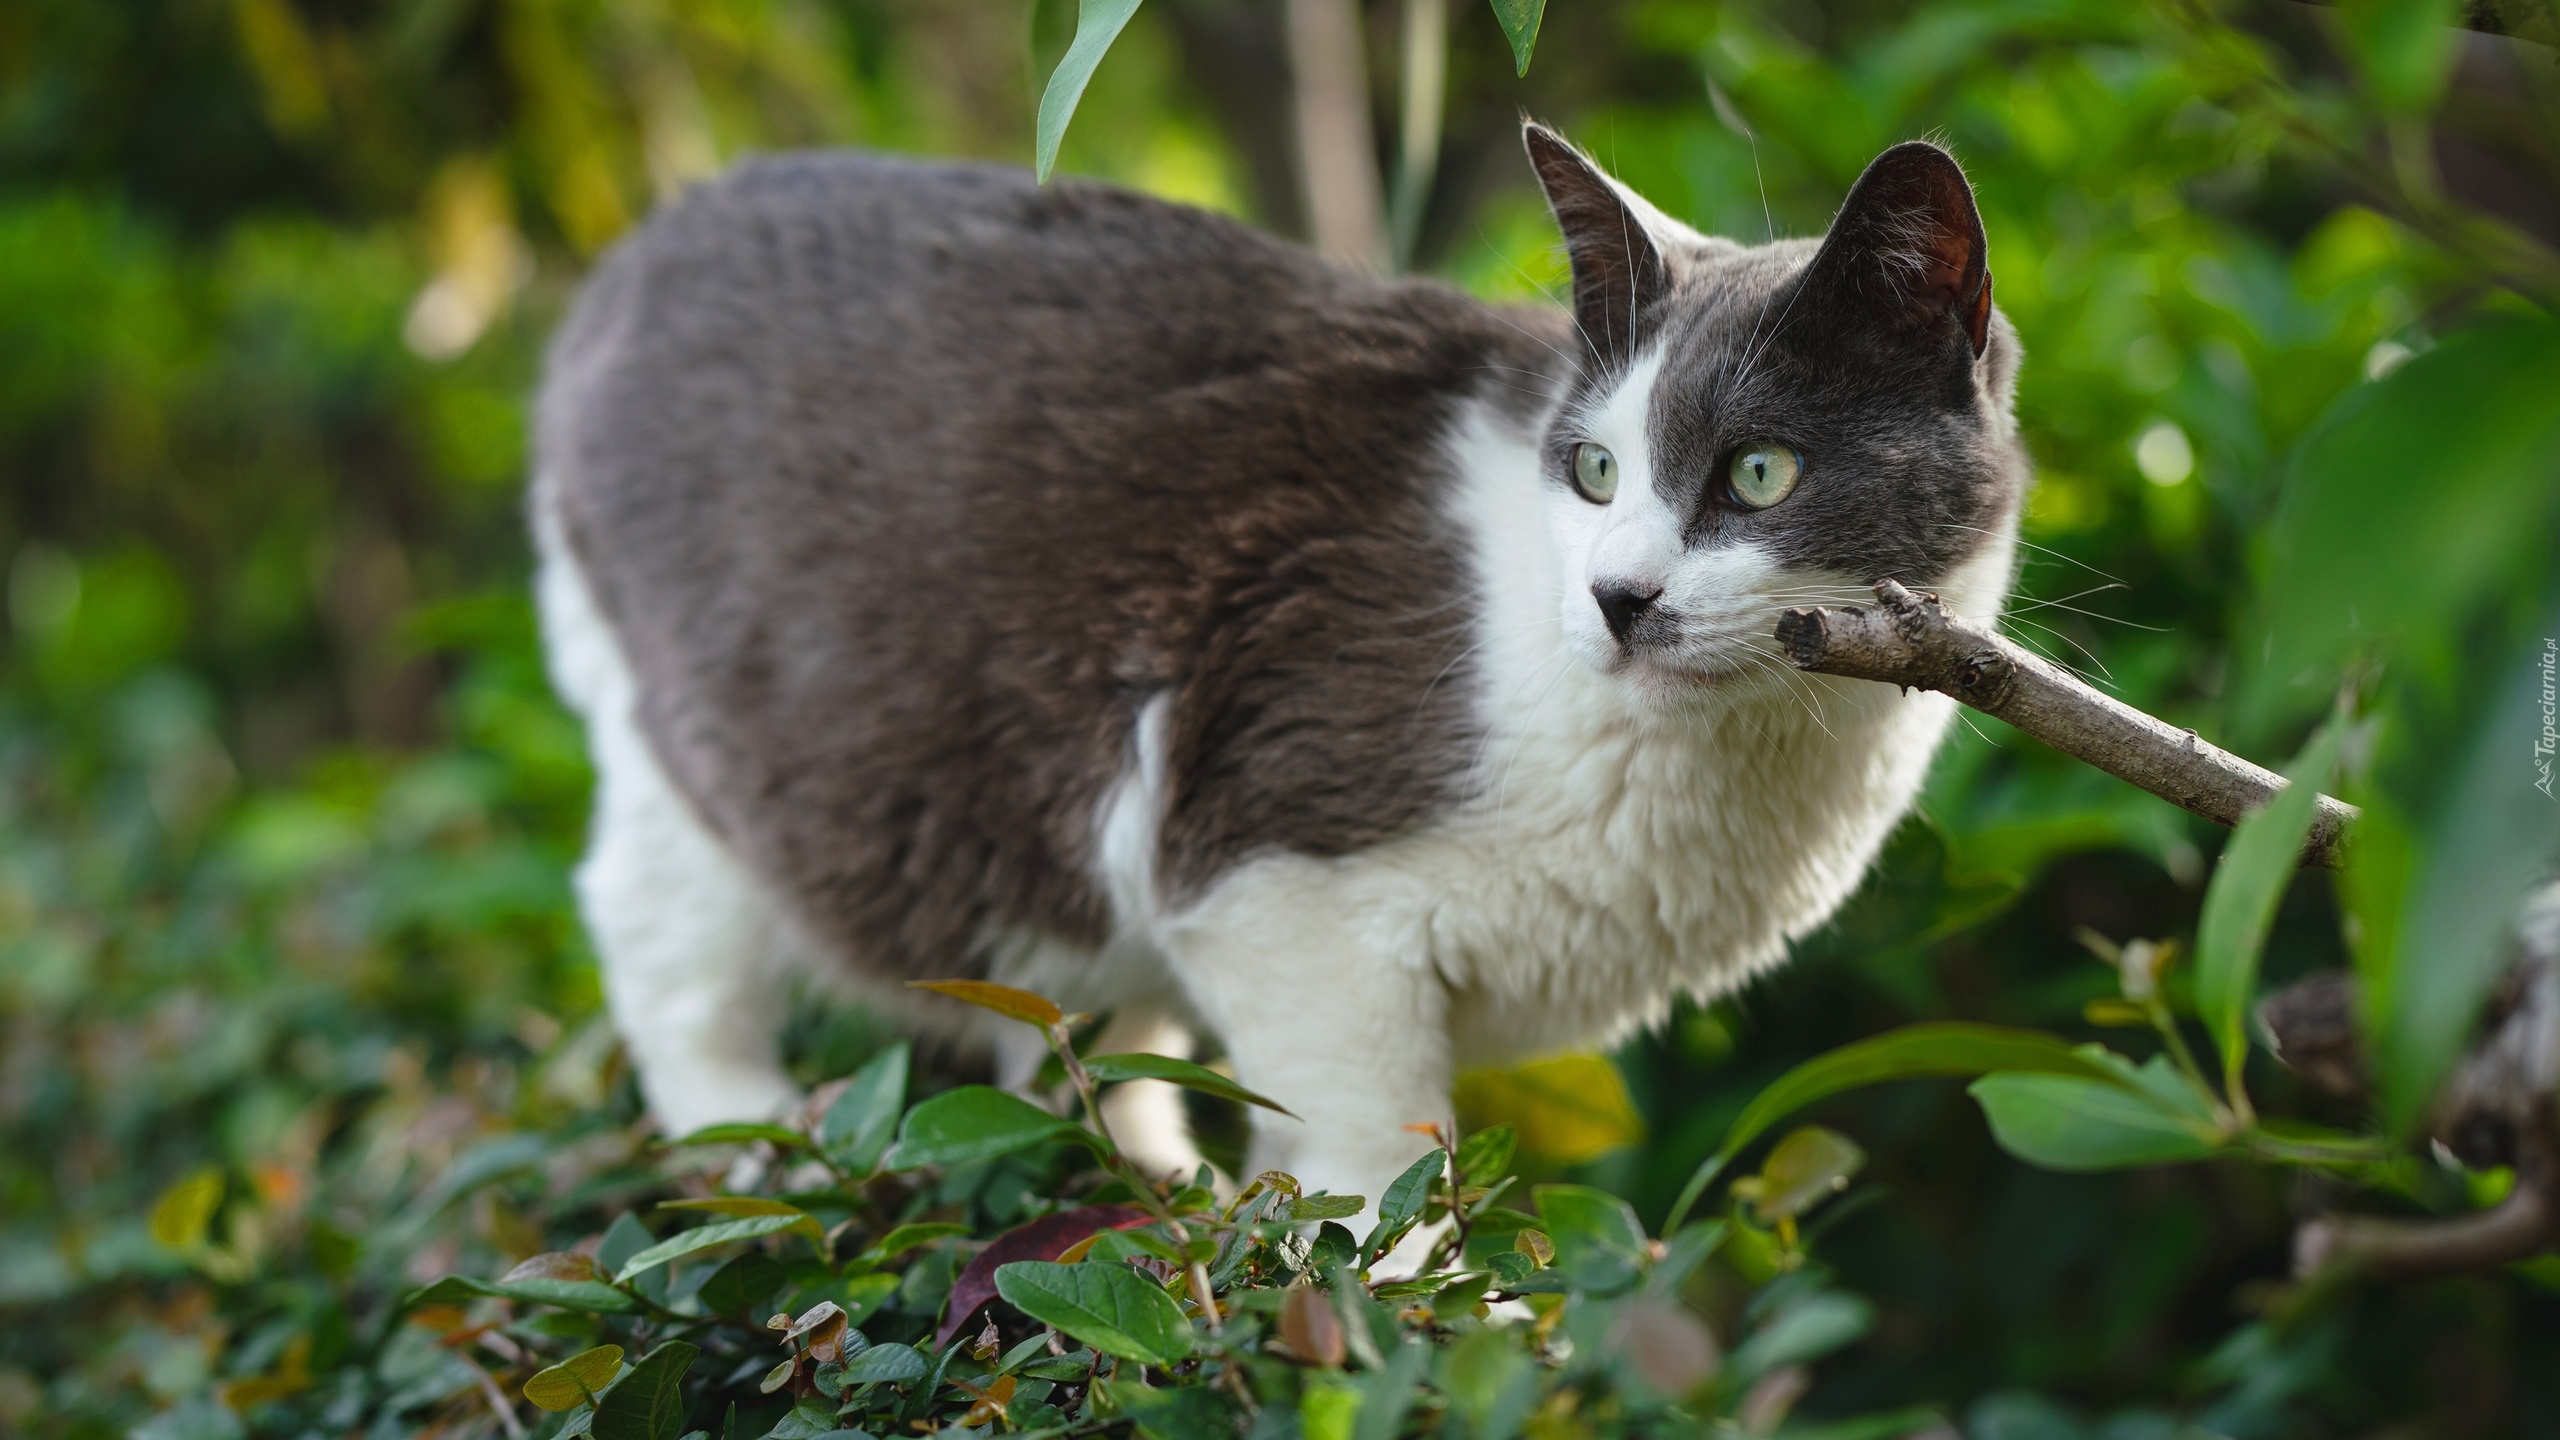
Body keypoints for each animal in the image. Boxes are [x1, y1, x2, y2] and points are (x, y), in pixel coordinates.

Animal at [529, 120, 2027, 1199]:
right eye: (1595, 470)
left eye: (1760, 473)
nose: (1614, 597)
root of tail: (639, 251)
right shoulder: (1280, 871)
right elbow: (1370, 1159)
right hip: (705, 739)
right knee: (654, 930)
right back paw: (755, 1153)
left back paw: (1132, 1178)